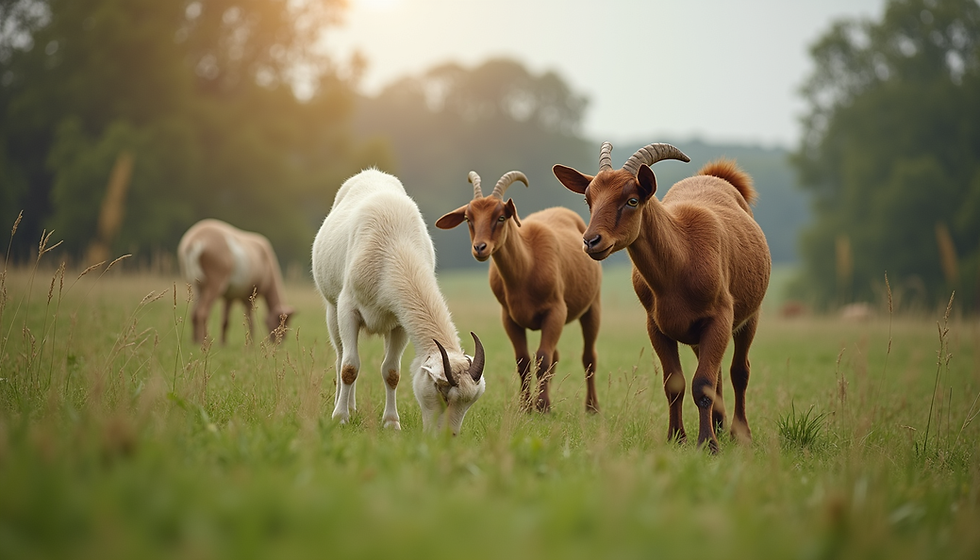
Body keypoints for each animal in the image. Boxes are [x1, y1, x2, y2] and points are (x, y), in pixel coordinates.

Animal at [312, 168, 486, 435]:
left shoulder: (399, 323)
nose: (449, 436)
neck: (394, 246)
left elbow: (392, 372)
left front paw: (392, 423)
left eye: (470, 402)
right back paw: (345, 407)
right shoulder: (347, 309)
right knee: (341, 356)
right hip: (332, 310)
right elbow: (349, 367)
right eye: (443, 394)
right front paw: (340, 418)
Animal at [436, 171, 602, 413]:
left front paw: (542, 407)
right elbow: (523, 361)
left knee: (588, 356)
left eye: (501, 217)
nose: (480, 248)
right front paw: (526, 407)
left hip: (593, 305)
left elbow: (543, 358)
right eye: (468, 218)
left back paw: (591, 408)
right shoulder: (509, 317)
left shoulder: (556, 311)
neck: (527, 268)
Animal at [553, 142, 771, 452]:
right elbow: (675, 384)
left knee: (739, 371)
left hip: (749, 318)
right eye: (588, 199)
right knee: (717, 375)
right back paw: (718, 423)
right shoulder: (656, 326)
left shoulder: (719, 317)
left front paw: (708, 444)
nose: (591, 241)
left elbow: (702, 382)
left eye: (632, 200)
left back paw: (739, 434)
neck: (683, 256)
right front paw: (677, 437)